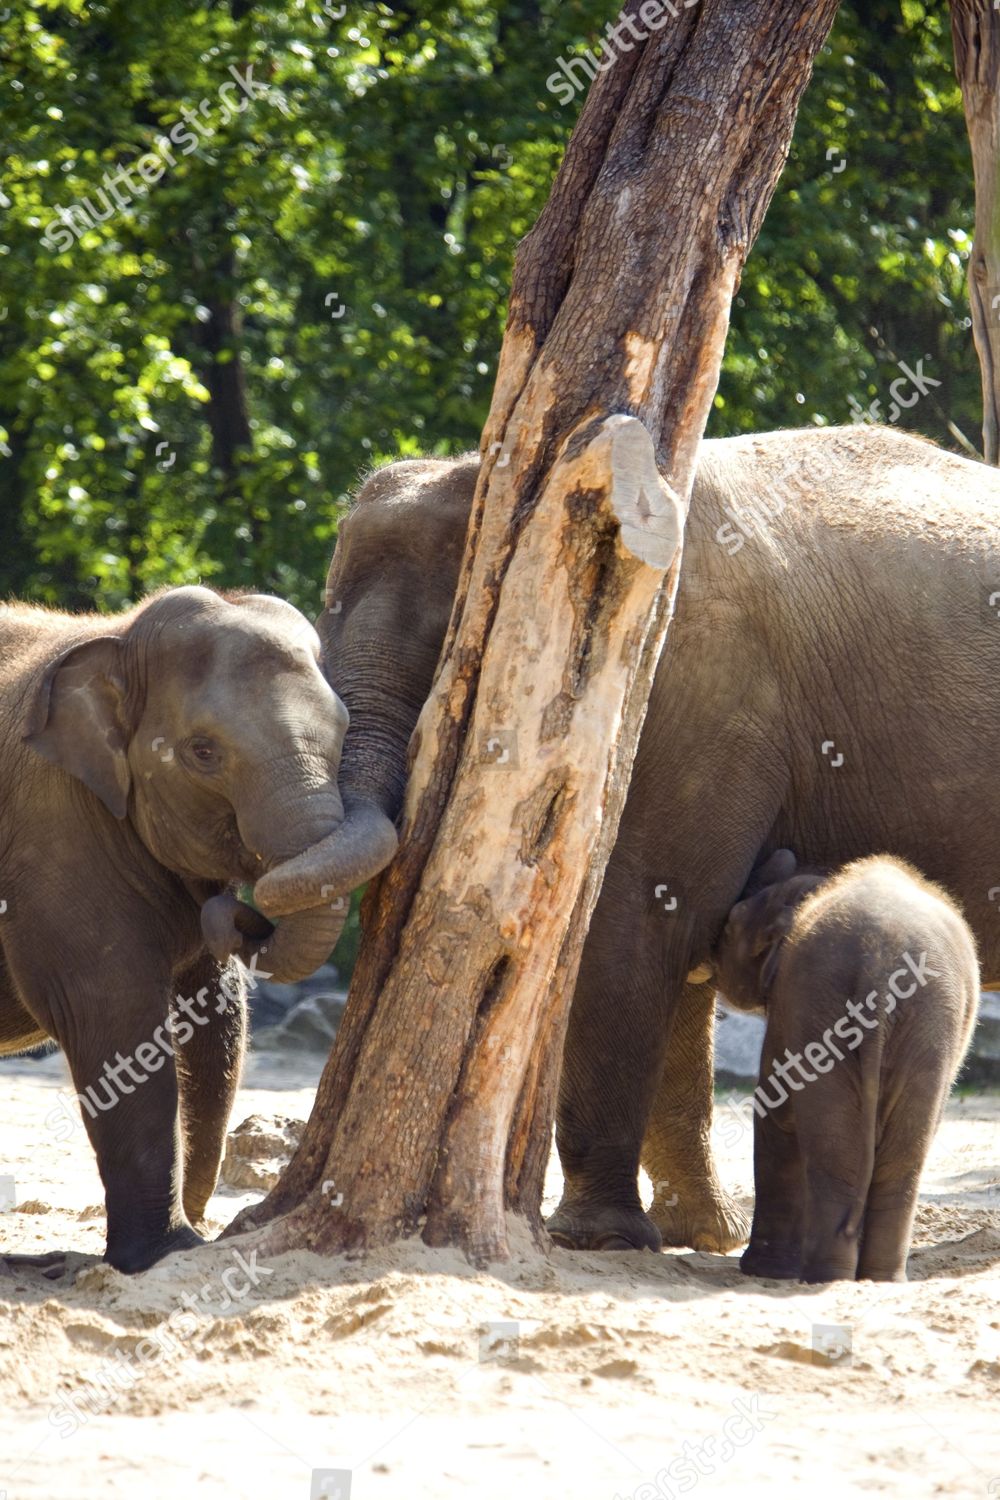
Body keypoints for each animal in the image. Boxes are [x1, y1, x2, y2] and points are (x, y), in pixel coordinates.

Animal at [1, 582, 392, 1266]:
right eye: (203, 753)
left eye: (345, 730)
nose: (236, 910)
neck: (119, 635)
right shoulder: (54, 835)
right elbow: (117, 1017)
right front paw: (166, 1253)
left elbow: (217, 1014)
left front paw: (195, 1232)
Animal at [716, 852, 983, 1284]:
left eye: (730, 925)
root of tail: (881, 968)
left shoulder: (788, 1005)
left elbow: (775, 1114)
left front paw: (763, 1271)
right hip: (927, 1021)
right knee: (899, 1160)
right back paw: (877, 1279)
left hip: (827, 1004)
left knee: (829, 1150)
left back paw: (826, 1277)